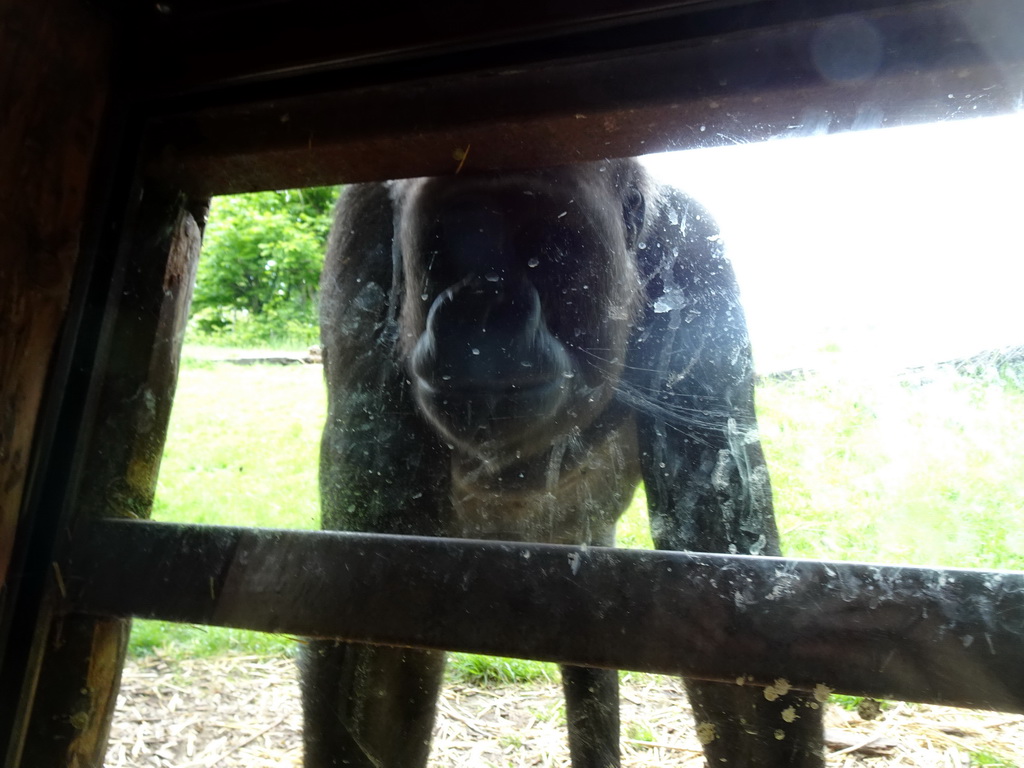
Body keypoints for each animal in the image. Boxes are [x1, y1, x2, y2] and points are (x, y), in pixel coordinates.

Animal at [301, 159, 823, 765]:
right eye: (452, 244)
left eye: (542, 248)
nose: (483, 304)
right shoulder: (360, 230)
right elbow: (369, 598)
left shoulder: (697, 254)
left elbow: (724, 573)